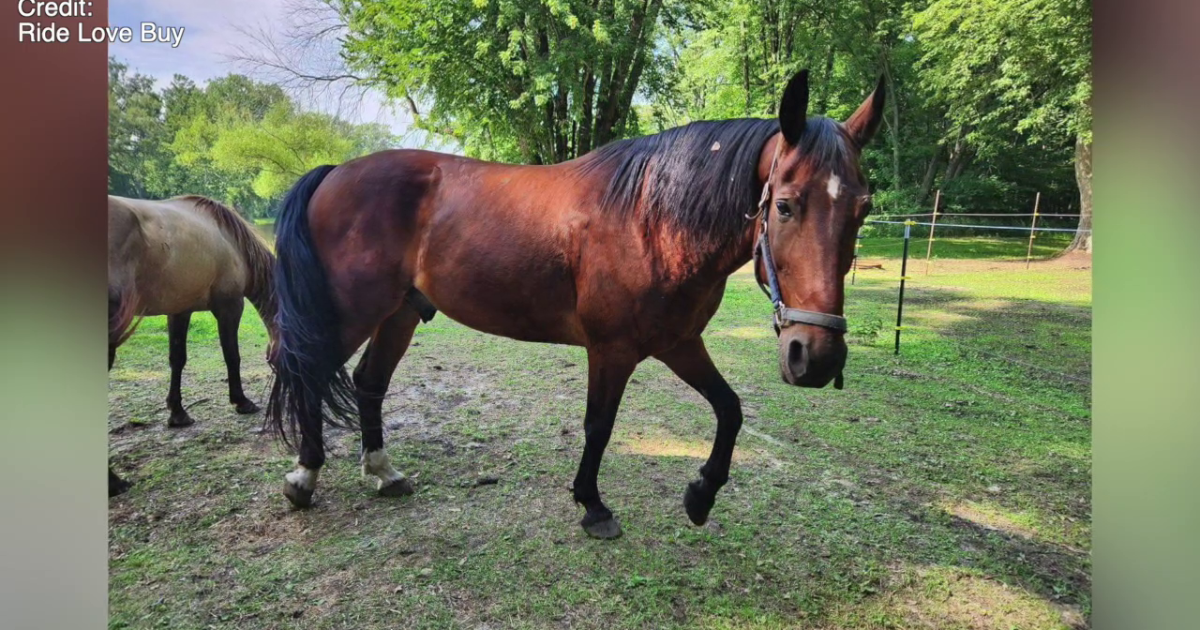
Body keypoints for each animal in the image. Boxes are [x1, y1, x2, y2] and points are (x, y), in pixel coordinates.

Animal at [107, 195, 279, 497]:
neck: (231, 240)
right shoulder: (229, 306)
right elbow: (232, 356)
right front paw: (242, 401)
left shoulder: (180, 310)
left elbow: (177, 359)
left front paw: (178, 413)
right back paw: (114, 482)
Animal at [266, 70, 884, 538]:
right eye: (784, 205)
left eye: (863, 209)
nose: (817, 356)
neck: (651, 219)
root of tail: (335, 173)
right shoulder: (611, 350)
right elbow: (599, 426)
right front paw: (593, 506)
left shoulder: (678, 342)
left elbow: (729, 409)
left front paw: (701, 495)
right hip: (352, 312)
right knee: (311, 372)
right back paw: (304, 477)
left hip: (398, 313)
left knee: (368, 382)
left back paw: (383, 472)